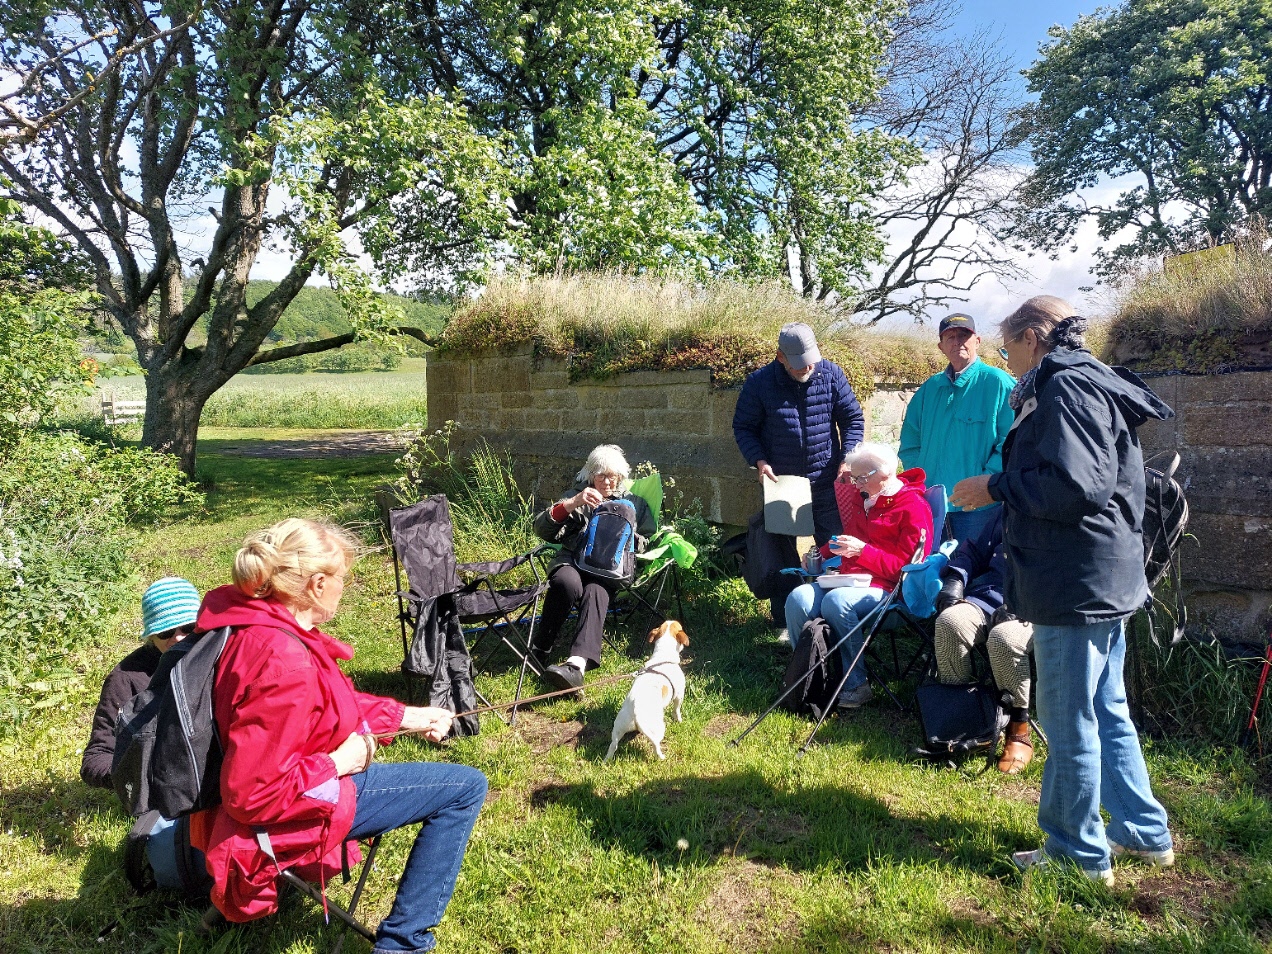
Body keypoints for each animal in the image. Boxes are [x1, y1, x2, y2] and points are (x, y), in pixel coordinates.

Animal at [604, 620, 689, 761]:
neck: (663, 656)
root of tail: (635, 711)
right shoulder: (679, 695)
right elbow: (677, 710)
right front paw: (679, 720)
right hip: (657, 728)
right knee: (655, 745)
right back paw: (661, 757)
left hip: (618, 727)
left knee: (613, 745)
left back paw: (606, 760)